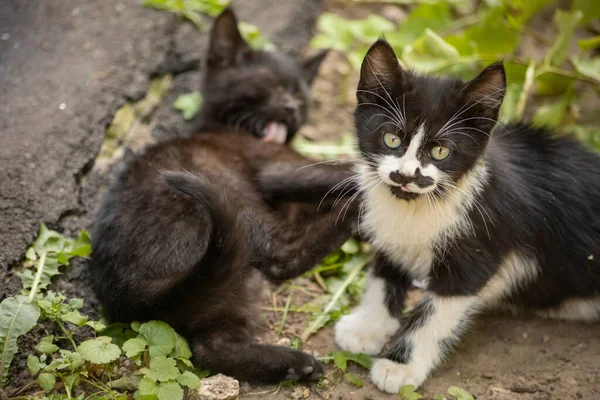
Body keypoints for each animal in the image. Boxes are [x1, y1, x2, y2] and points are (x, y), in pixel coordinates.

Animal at [91, 7, 358, 384]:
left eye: (301, 96)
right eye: (273, 86)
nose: (291, 106)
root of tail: (128, 293)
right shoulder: (276, 165)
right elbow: (340, 169)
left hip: (233, 281)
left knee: (211, 347)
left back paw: (295, 364)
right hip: (229, 197)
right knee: (282, 255)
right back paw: (357, 210)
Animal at [336, 39, 600, 392]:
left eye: (440, 151)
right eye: (392, 138)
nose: (405, 176)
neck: (421, 205)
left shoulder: (479, 249)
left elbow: (433, 313)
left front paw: (399, 367)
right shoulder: (391, 231)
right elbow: (384, 272)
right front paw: (368, 326)